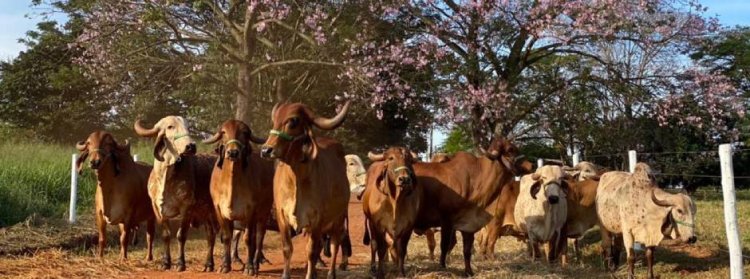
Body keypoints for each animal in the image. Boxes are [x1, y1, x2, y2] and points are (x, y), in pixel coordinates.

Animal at [75, 132, 155, 262]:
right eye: (89, 143)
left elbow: (124, 239)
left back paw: (148, 257)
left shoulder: (128, 215)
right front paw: (100, 257)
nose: (95, 162)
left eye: (108, 143)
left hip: (152, 215)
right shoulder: (100, 214)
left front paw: (124, 259)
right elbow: (102, 239)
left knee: (150, 236)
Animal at [364, 148, 424, 278]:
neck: (395, 201)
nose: (404, 179)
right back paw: (373, 267)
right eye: (391, 158)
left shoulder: (408, 228)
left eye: (408, 159)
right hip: (370, 224)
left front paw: (401, 272)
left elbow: (401, 250)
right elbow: (381, 249)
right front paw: (380, 273)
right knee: (374, 245)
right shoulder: (379, 226)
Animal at [414, 139, 532, 276]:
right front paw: (443, 268)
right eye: (510, 149)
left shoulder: (469, 225)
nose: (531, 165)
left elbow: (467, 250)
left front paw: (469, 271)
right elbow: (444, 246)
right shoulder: (447, 221)